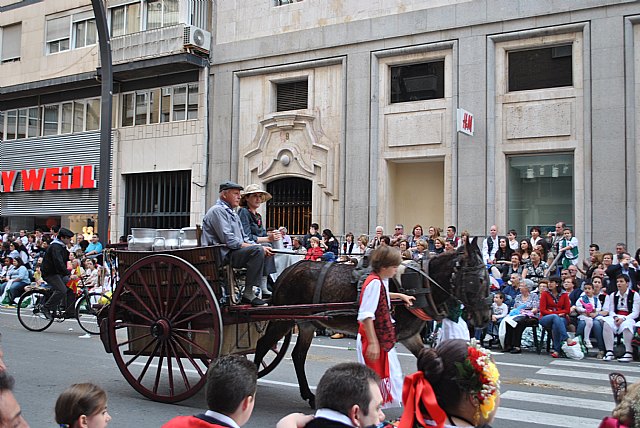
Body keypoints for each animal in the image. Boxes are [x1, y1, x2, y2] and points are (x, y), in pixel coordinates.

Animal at [252, 237, 488, 408]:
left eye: (486, 276)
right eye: (480, 279)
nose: (485, 317)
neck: (418, 285)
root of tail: (288, 271)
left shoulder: (410, 336)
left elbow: (430, 360)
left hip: (307, 323)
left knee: (298, 356)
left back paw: (309, 395)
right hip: (283, 319)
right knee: (263, 345)